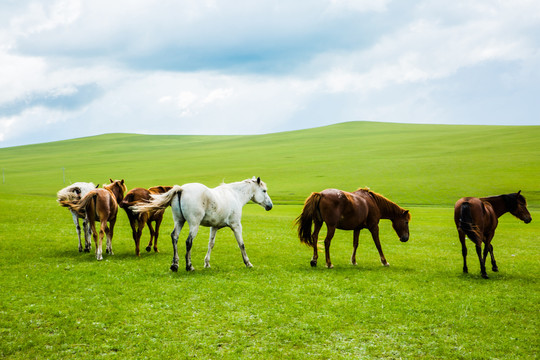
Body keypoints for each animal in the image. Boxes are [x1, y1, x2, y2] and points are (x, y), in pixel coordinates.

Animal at [133, 176, 272, 272]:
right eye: (264, 191)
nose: (270, 206)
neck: (234, 195)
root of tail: (181, 189)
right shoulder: (236, 226)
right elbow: (241, 244)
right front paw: (248, 263)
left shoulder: (214, 227)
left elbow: (211, 244)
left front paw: (207, 263)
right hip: (194, 225)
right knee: (188, 241)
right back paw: (189, 266)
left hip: (179, 221)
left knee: (174, 237)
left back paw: (175, 265)